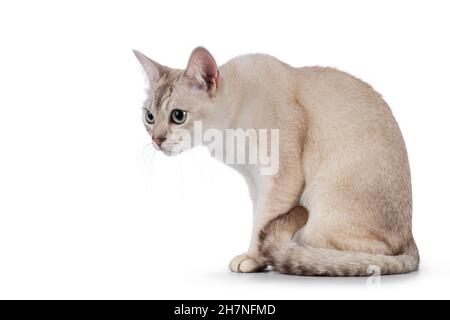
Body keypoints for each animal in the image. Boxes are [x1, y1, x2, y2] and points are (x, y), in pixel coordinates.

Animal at [134, 46, 418, 276]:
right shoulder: (255, 181)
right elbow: (258, 221)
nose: (157, 140)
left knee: (366, 256)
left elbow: (262, 222)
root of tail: (410, 239)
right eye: (149, 116)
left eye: (178, 116)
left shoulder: (280, 178)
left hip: (320, 210)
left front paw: (253, 259)